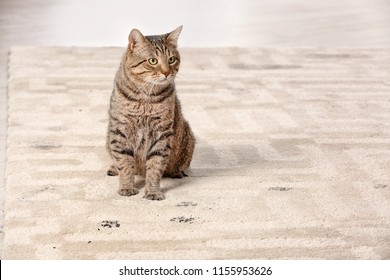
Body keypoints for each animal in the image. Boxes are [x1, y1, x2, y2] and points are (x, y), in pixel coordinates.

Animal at [106, 26, 195, 200]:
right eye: (153, 61)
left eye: (171, 59)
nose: (167, 72)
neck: (145, 98)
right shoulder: (120, 130)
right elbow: (125, 163)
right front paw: (127, 187)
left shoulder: (162, 133)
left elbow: (155, 166)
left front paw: (153, 192)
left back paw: (177, 172)